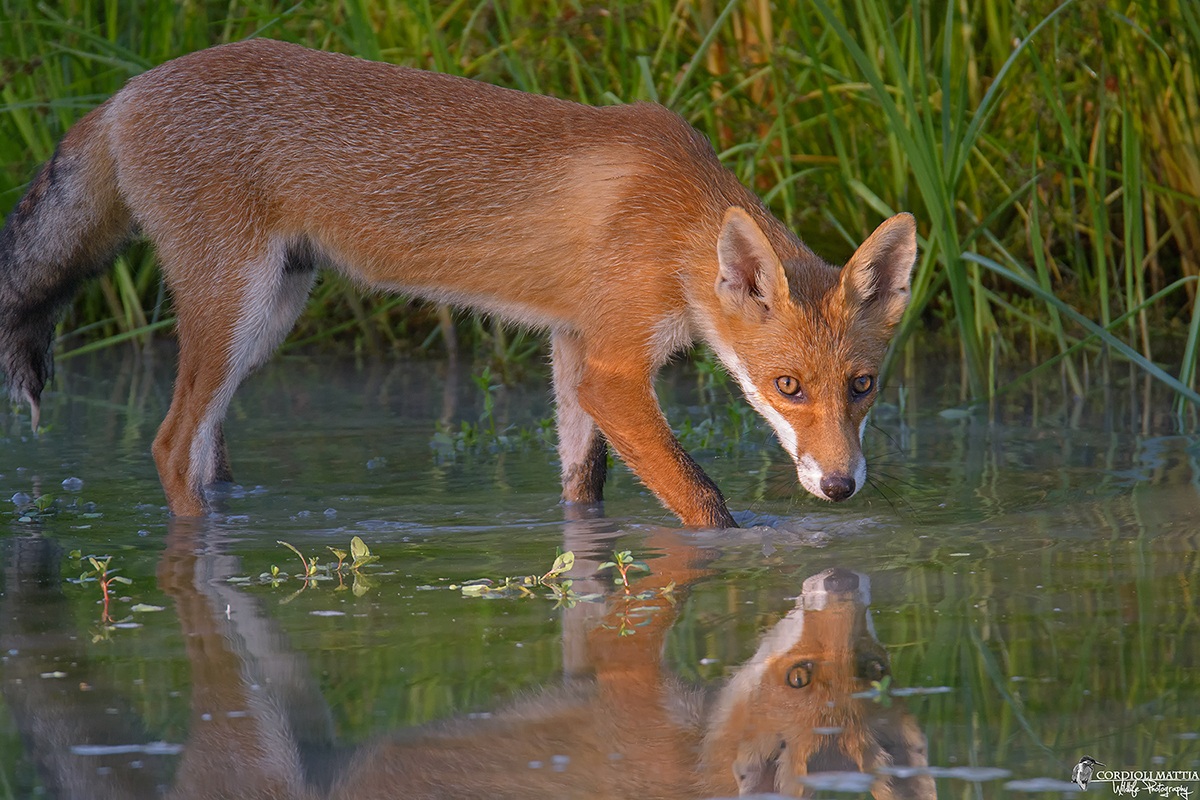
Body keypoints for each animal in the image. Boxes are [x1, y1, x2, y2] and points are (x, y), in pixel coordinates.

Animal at [0, 38, 917, 527]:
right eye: (788, 386)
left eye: (863, 386)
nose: (840, 487)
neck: (677, 218)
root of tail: (125, 92)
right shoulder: (614, 370)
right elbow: (702, 500)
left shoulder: (573, 351)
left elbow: (582, 486)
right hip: (237, 314)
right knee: (166, 446)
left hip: (267, 321)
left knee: (203, 452)